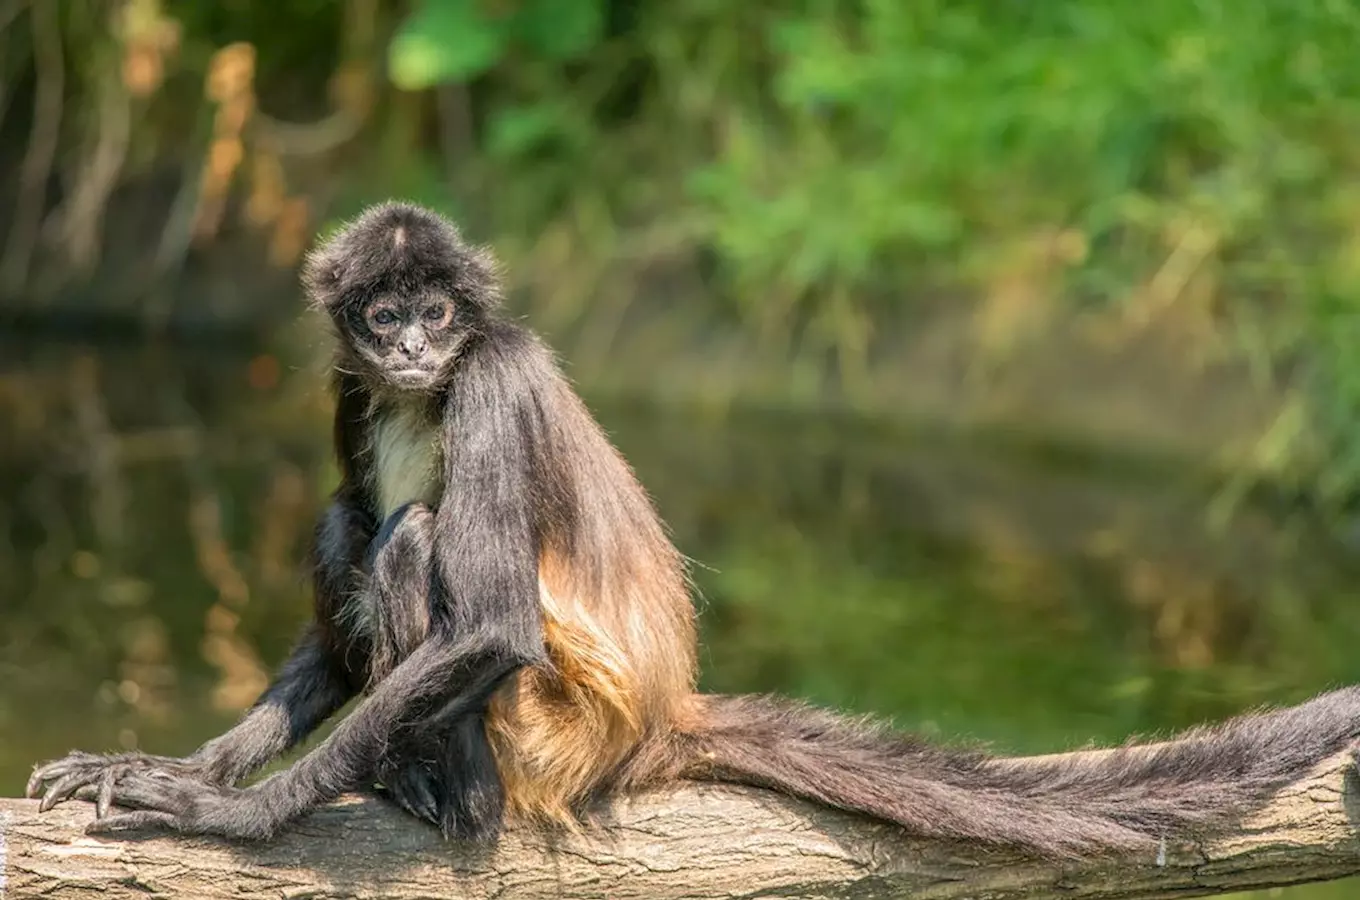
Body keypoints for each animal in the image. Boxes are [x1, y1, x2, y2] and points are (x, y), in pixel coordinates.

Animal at [23, 203, 1360, 859]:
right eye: (383, 315)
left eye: (439, 314)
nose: (409, 349)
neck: (424, 387)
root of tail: (660, 712)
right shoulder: (352, 391)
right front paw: (187, 767)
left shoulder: (492, 372)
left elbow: (492, 623)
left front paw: (234, 813)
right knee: (351, 516)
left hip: (552, 731)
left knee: (401, 532)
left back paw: (453, 805)